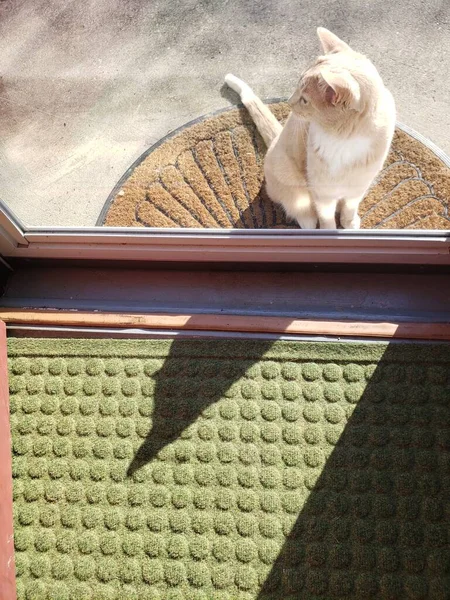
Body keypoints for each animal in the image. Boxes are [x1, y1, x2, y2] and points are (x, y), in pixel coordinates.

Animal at [225, 25, 394, 229]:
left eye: (305, 100)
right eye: (297, 87)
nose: (289, 103)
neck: (345, 139)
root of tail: (275, 141)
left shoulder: (358, 187)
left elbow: (350, 207)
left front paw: (349, 222)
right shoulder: (322, 192)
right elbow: (326, 218)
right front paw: (329, 230)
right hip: (290, 177)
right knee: (300, 209)